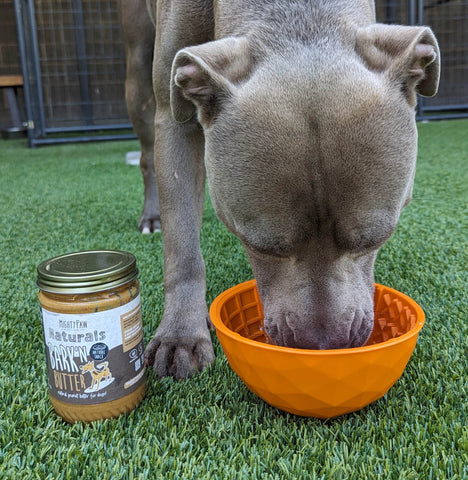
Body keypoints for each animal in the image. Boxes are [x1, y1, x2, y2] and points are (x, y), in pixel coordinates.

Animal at [118, 0, 438, 378]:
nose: (322, 346)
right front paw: (180, 334)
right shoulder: (174, 120)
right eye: (260, 246)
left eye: (375, 239)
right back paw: (152, 216)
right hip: (138, 70)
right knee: (148, 154)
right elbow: (182, 247)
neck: (301, 20)